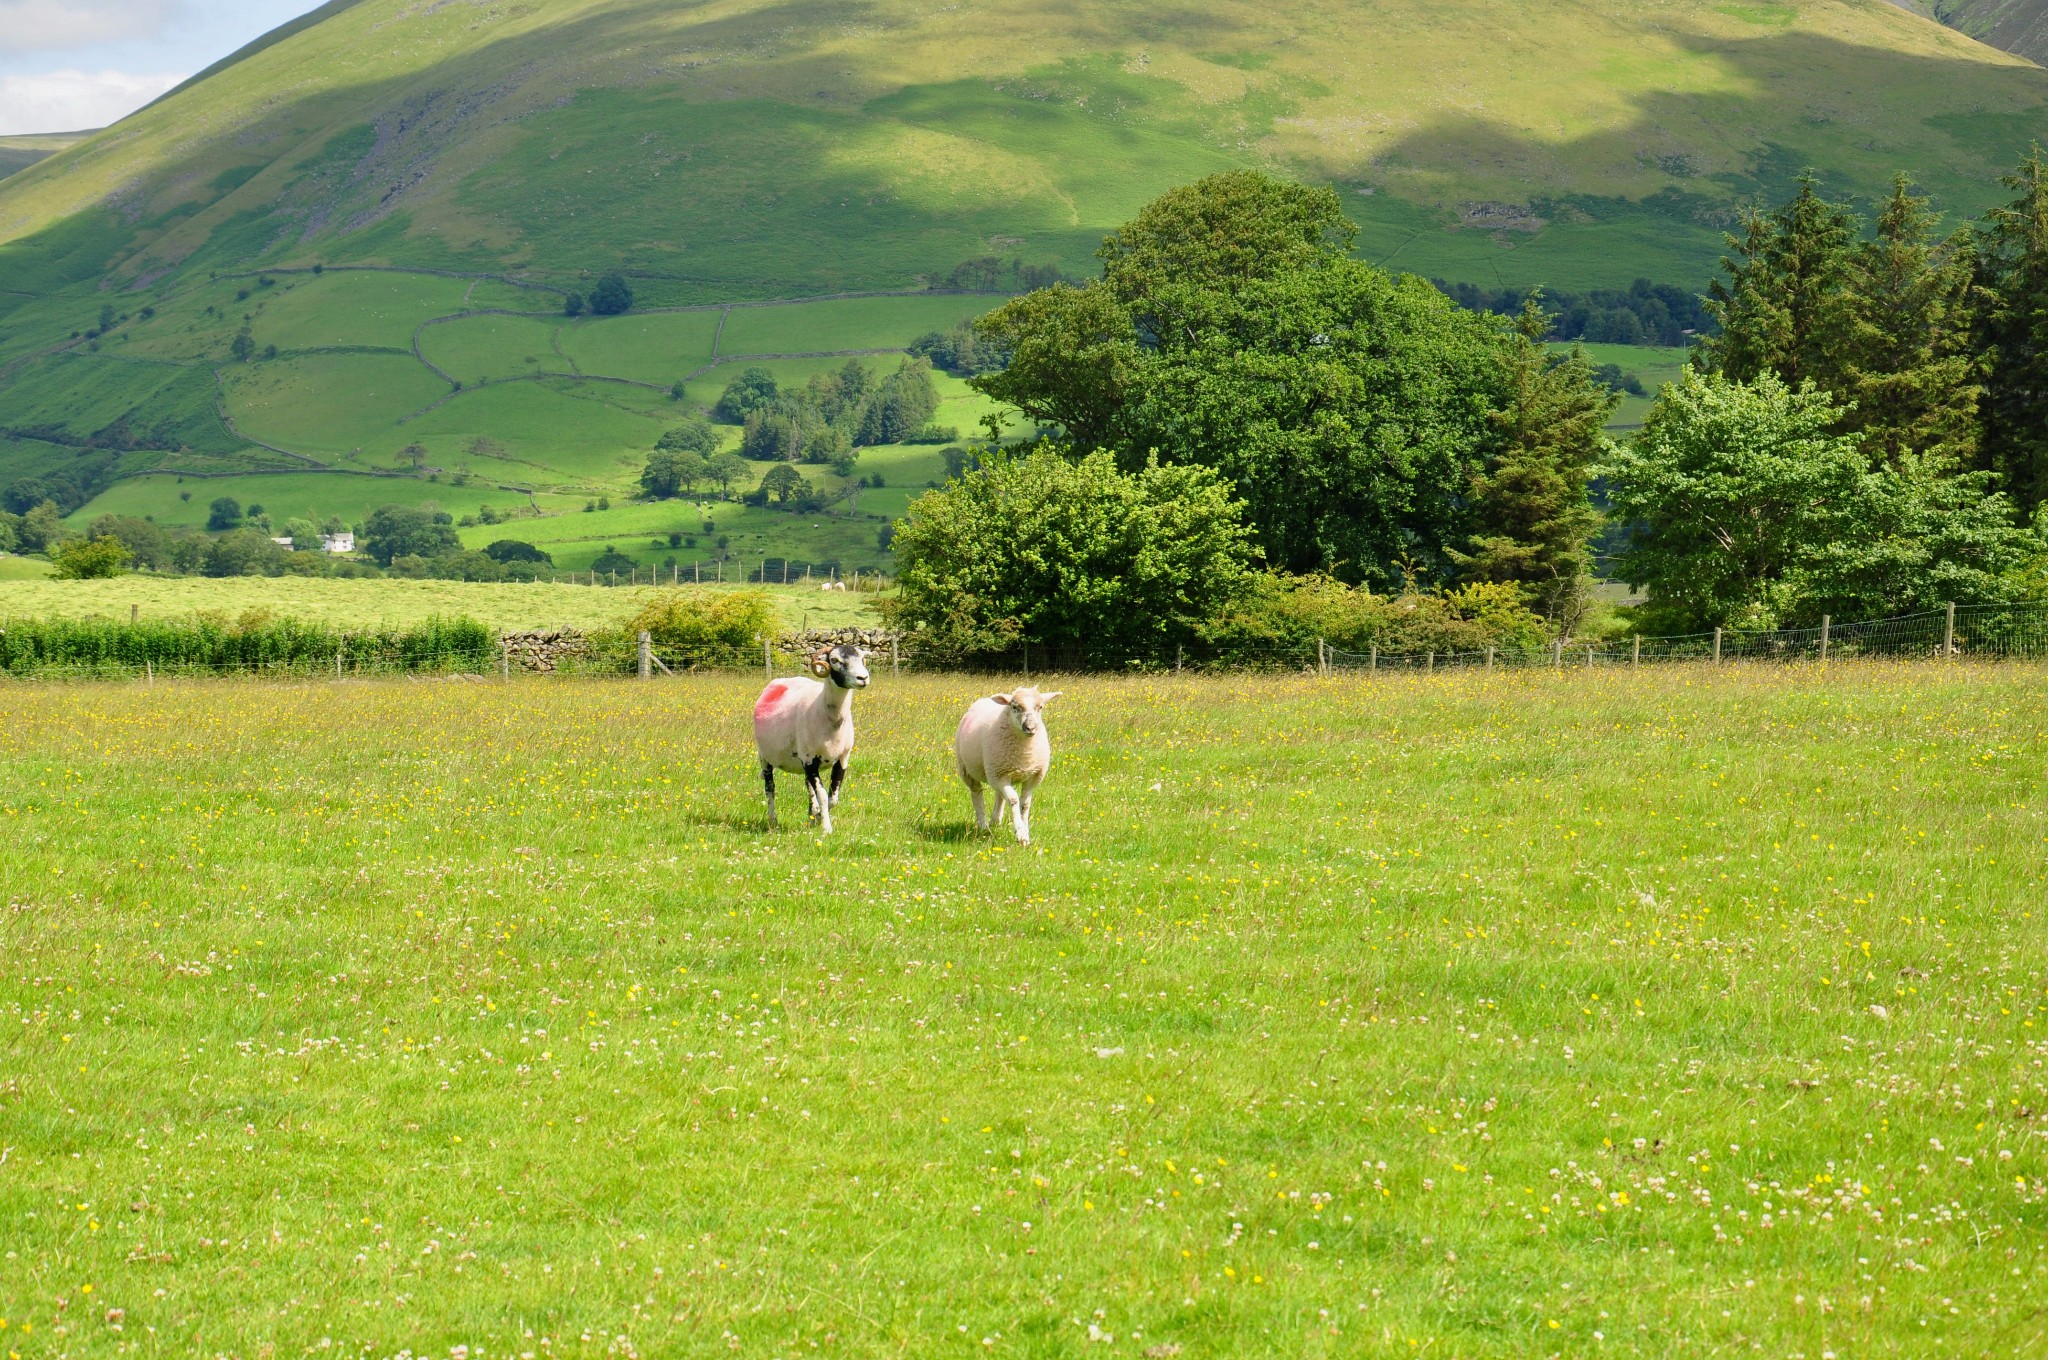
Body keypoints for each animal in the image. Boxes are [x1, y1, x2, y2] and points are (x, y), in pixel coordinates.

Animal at [761, 647, 872, 835]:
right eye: (834, 660)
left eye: (862, 657)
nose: (863, 678)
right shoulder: (809, 760)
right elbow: (823, 796)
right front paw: (826, 828)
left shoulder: (842, 758)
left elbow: (833, 798)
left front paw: (818, 816)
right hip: (764, 756)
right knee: (770, 788)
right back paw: (773, 821)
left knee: (808, 786)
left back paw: (812, 815)